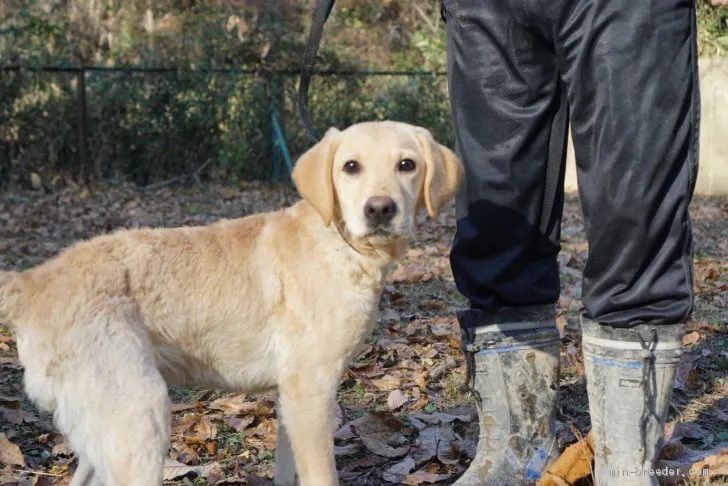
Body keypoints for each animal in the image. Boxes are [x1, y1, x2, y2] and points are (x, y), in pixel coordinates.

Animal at [0, 119, 460, 484]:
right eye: (351, 167)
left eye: (407, 165)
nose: (380, 209)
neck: (338, 241)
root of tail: (33, 279)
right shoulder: (310, 390)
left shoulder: (290, 399)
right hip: (139, 416)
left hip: (106, 430)